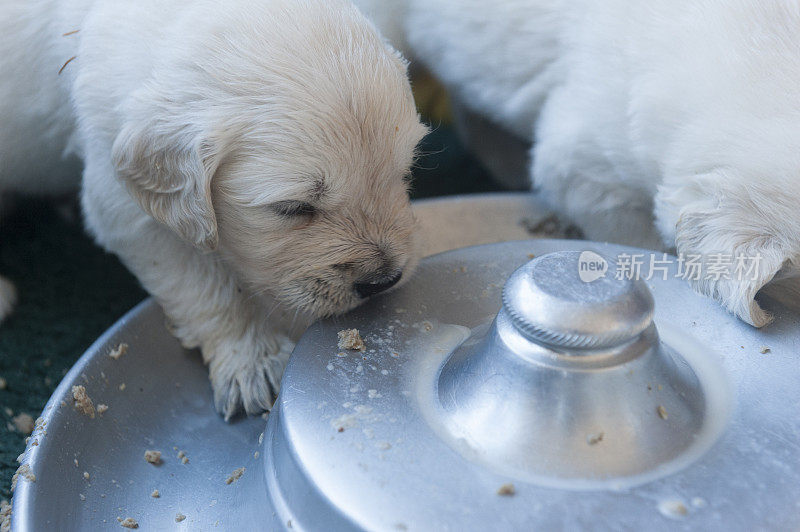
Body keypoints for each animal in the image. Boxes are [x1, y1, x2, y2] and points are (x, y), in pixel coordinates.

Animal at [0, 0, 428, 418]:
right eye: (293, 207)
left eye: (404, 174)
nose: (383, 281)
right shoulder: (123, 203)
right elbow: (205, 284)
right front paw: (253, 361)